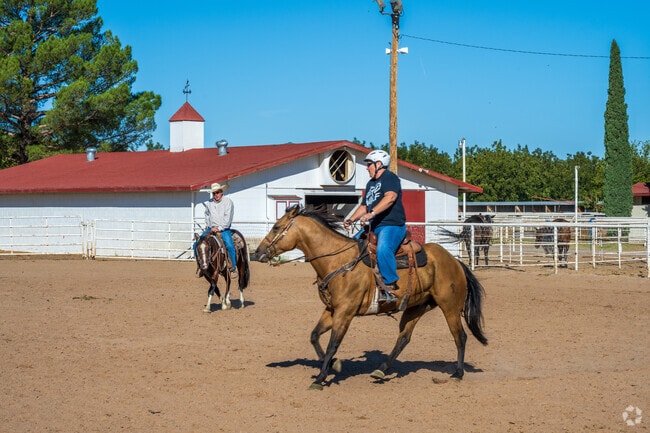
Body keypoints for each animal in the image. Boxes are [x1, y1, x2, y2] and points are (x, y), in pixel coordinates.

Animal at [254, 205, 488, 390]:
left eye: (277, 227)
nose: (257, 252)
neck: (338, 261)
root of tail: (455, 261)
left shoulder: (345, 313)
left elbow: (332, 345)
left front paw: (320, 378)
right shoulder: (331, 310)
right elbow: (314, 336)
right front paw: (332, 365)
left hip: (450, 307)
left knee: (460, 337)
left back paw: (457, 373)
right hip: (416, 307)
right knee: (404, 338)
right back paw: (381, 370)